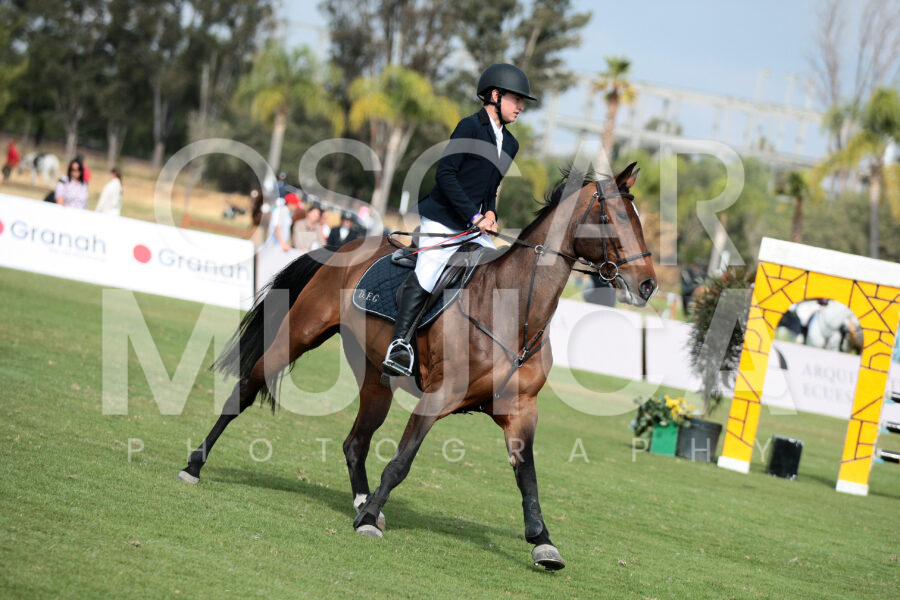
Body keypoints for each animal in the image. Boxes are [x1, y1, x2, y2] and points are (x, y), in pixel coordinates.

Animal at [178, 162, 657, 570]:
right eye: (614, 217)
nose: (648, 285)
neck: (514, 311)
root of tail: (345, 245)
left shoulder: (521, 410)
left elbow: (528, 477)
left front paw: (543, 542)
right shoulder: (439, 397)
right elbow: (402, 461)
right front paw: (369, 520)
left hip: (375, 378)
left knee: (355, 442)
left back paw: (362, 501)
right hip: (298, 335)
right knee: (245, 390)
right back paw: (195, 466)